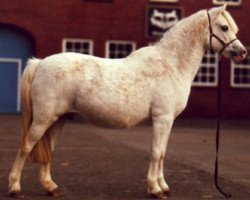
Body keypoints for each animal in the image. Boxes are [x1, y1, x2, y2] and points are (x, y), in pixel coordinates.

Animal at [8, 4, 247, 198]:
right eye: (224, 27)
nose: (242, 52)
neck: (171, 64)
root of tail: (40, 63)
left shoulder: (167, 121)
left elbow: (162, 154)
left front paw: (163, 186)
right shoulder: (162, 119)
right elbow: (156, 153)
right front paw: (155, 189)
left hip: (59, 120)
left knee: (48, 149)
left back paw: (51, 187)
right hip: (44, 119)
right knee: (26, 146)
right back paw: (15, 187)